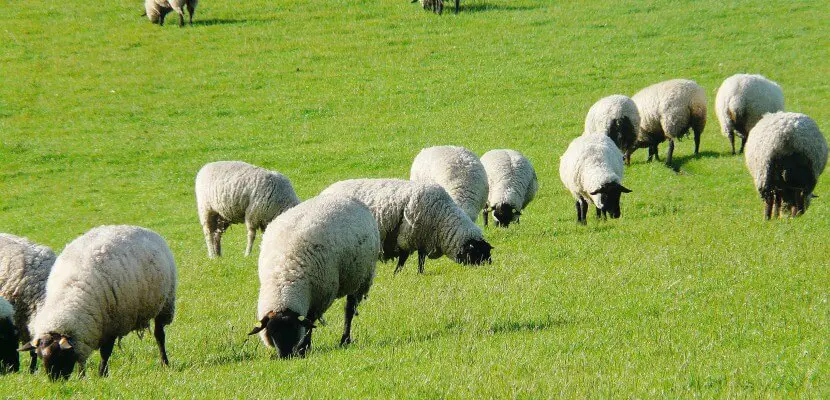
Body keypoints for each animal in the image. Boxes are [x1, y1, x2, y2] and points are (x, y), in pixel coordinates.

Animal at [21, 225, 177, 380]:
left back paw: (165, 363)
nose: (56, 382)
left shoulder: (113, 324)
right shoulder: (84, 335)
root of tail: (145, 229)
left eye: (61, 356)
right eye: (41, 357)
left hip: (166, 304)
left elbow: (105, 353)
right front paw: (82, 377)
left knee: (159, 336)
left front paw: (102, 374)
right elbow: (81, 358)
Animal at [248, 195, 380, 358]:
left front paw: (304, 348)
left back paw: (345, 340)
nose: (285, 356)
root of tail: (348, 197)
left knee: (349, 310)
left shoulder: (318, 298)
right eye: (272, 332)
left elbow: (309, 323)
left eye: (293, 330)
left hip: (359, 278)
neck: (284, 278)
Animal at [320, 179, 493, 274]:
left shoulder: (422, 238)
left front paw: (419, 273)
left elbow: (421, 258)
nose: (490, 266)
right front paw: (397, 273)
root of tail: (325, 192)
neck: (441, 218)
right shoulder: (407, 235)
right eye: (478, 251)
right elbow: (405, 258)